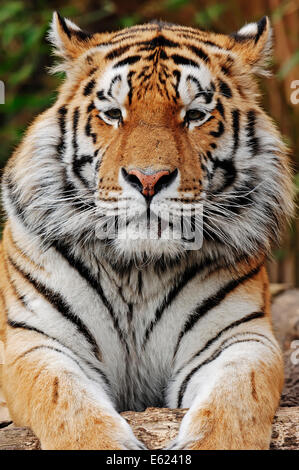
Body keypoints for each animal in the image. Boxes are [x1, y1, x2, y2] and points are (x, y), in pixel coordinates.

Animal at [0, 12, 296, 450]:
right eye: (113, 113)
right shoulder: (37, 339)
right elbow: (62, 396)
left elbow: (240, 395)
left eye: (194, 115)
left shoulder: (239, 337)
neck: (139, 270)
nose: (148, 179)